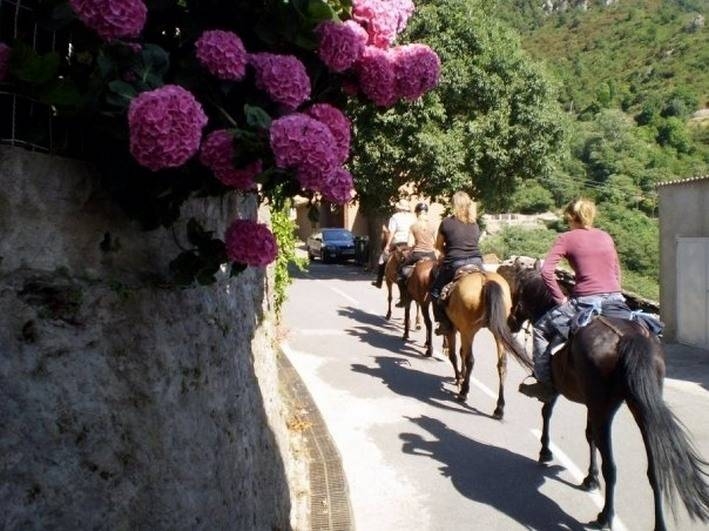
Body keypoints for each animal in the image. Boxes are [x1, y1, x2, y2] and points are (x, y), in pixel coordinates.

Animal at [436, 270, 532, 420]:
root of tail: (485, 280)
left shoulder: (455, 330)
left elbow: (454, 355)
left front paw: (459, 379)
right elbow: (461, 352)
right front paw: (461, 376)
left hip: (468, 330)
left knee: (470, 359)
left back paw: (463, 392)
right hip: (498, 331)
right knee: (502, 364)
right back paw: (499, 408)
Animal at [496, 260, 708, 528]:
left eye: (520, 293)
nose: (511, 320)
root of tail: (628, 337)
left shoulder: (561, 390)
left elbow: (548, 412)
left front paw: (545, 452)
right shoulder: (592, 404)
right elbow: (589, 435)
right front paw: (590, 478)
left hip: (605, 409)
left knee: (612, 466)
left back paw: (605, 516)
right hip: (639, 410)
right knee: (654, 470)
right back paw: (658, 524)